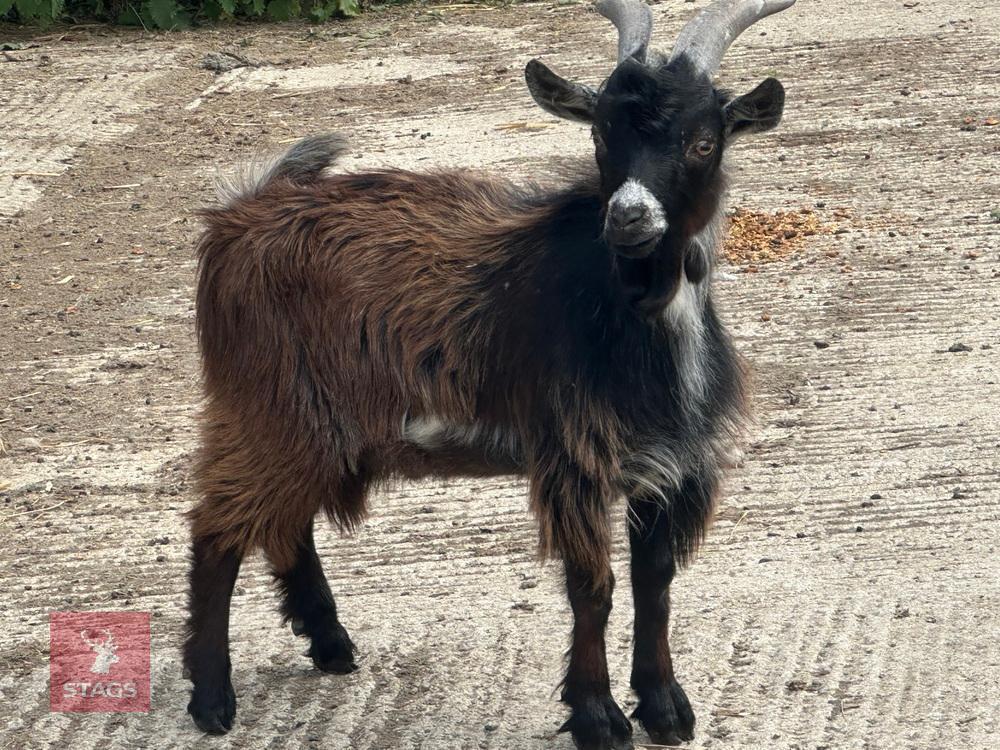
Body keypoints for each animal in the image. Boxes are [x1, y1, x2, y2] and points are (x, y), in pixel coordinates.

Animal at [183, 1, 794, 747]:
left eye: (704, 140)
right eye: (601, 134)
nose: (627, 217)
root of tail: (234, 218)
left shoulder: (671, 465)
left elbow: (655, 586)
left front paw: (665, 708)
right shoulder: (574, 458)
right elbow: (592, 588)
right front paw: (597, 716)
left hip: (311, 426)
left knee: (284, 523)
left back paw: (331, 647)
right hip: (266, 407)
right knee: (216, 530)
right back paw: (212, 700)